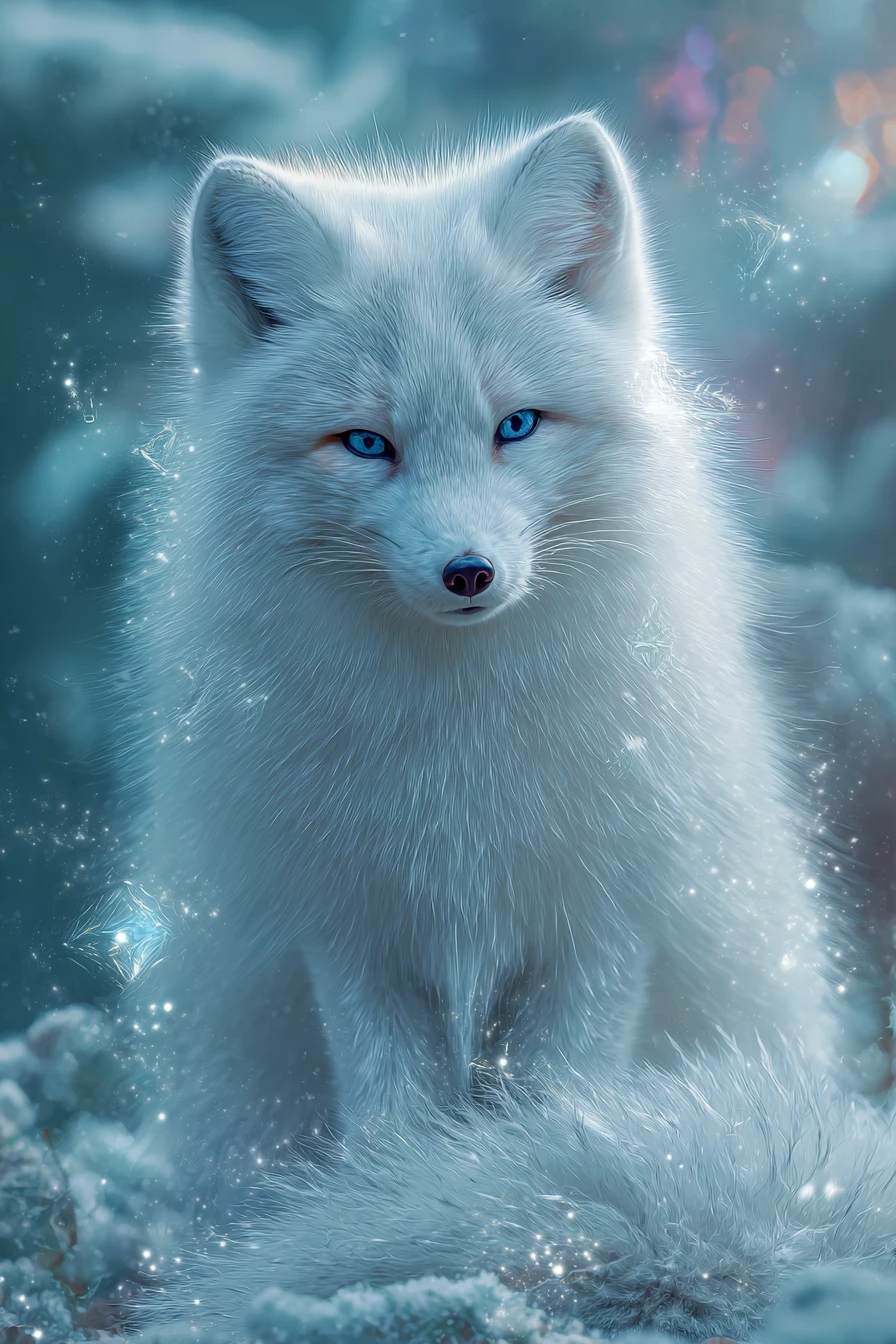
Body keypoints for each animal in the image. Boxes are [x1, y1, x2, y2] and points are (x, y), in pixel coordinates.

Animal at [126, 115, 896, 1336]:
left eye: (517, 426)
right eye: (365, 444)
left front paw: (495, 1225)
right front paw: (392, 1227)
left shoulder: (603, 922)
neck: (457, 761)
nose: (468, 573)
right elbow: (391, 1132)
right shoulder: (349, 930)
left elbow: (559, 1108)